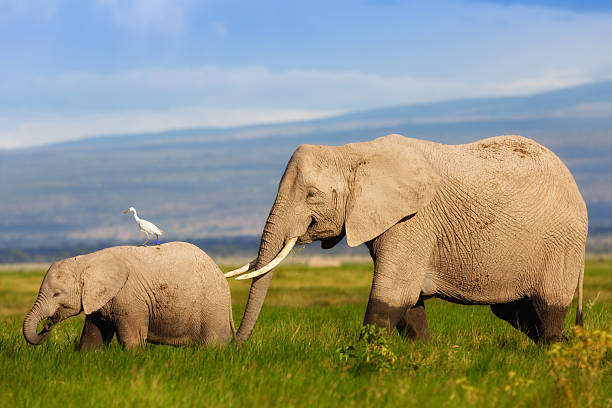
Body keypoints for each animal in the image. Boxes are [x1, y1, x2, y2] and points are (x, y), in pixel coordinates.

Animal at [23, 242, 234, 350]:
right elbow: (91, 338)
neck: (87, 260)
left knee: (211, 346)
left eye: (57, 293)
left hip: (213, 308)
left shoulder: (131, 299)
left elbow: (131, 341)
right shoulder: (101, 300)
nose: (46, 326)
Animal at [226, 135, 588, 344]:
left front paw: (361, 364)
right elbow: (410, 302)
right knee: (515, 312)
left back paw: (553, 352)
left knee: (547, 309)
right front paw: (423, 358)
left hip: (562, 243)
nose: (233, 346)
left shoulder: (413, 221)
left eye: (312, 195)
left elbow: (392, 295)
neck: (353, 151)